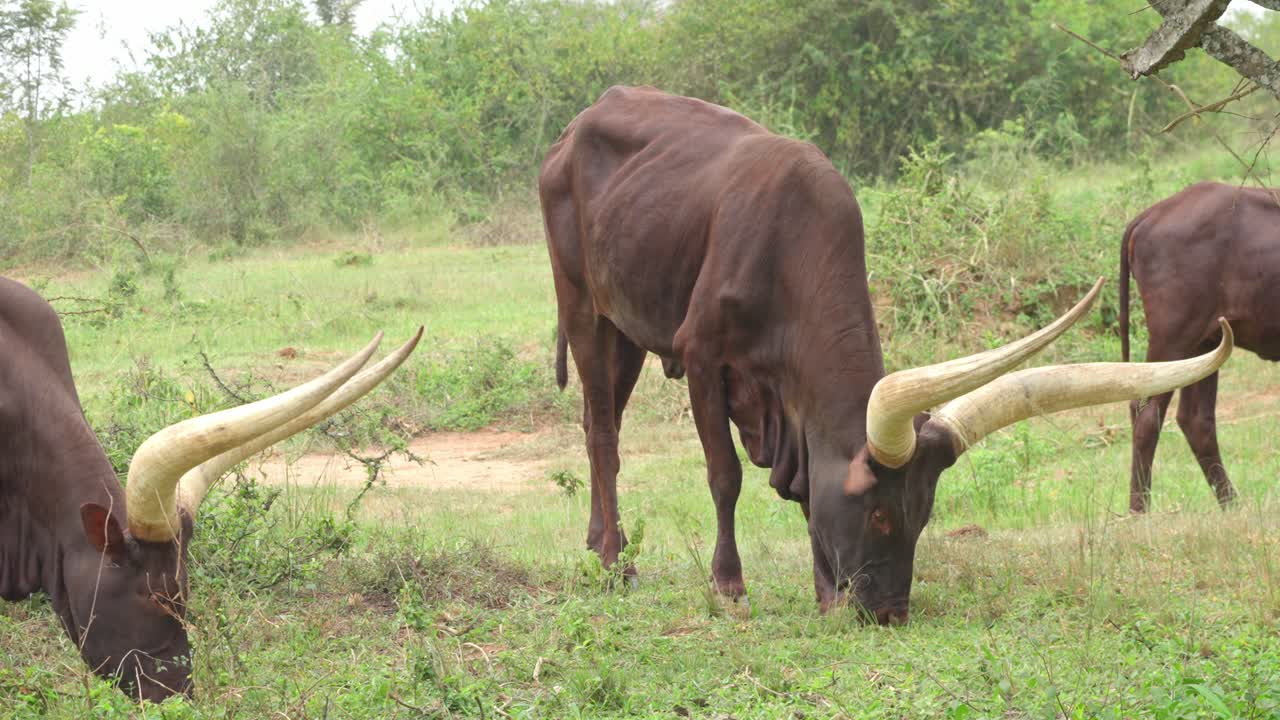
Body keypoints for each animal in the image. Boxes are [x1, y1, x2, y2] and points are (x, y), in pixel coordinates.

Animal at [539, 86, 1232, 623]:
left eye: (923, 515)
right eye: (877, 515)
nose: (890, 613)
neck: (788, 249)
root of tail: (575, 127)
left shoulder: (797, 407)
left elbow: (808, 497)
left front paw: (823, 592)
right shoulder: (704, 358)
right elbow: (725, 476)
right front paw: (730, 587)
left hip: (626, 328)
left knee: (599, 421)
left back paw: (600, 542)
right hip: (583, 307)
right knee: (602, 432)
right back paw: (613, 562)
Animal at [1120, 181, 1280, 512]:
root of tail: (1152, 213)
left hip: (1204, 345)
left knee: (1195, 419)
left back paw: (1231, 505)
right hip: (1172, 340)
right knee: (1147, 414)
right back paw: (1139, 511)